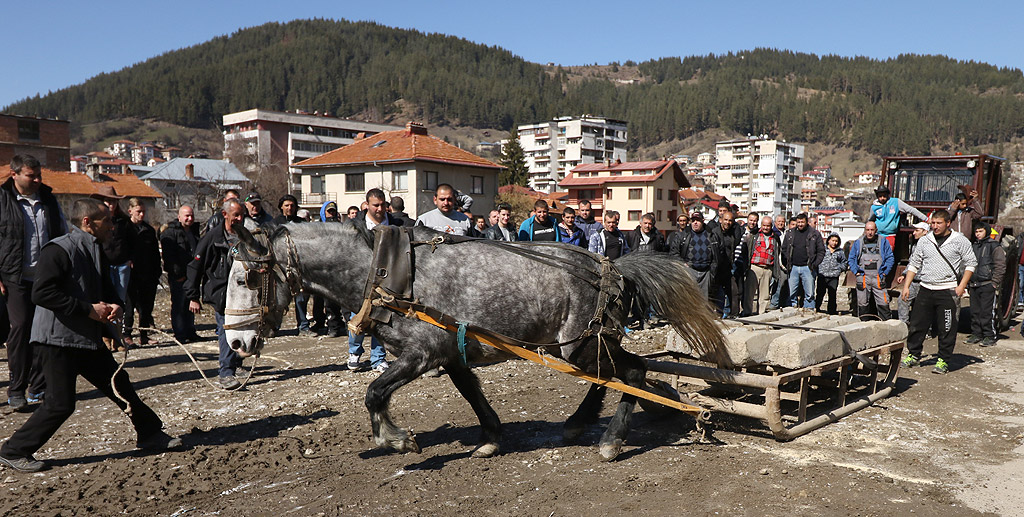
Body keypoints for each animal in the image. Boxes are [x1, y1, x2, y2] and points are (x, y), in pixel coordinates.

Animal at [224, 221, 724, 458]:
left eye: (246, 277)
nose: (237, 345)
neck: (382, 272)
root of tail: (612, 267)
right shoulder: (450, 353)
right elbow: (470, 393)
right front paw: (491, 437)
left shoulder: (422, 353)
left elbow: (373, 392)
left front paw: (397, 440)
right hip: (580, 346)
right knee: (613, 377)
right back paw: (578, 423)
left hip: (579, 346)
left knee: (634, 373)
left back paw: (611, 441)